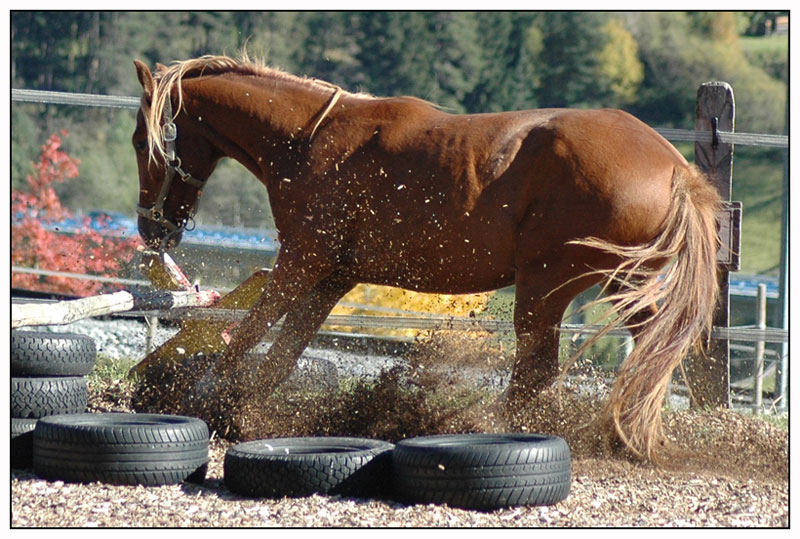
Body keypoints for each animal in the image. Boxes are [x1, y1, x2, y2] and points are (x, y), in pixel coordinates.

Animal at [131, 53, 720, 460]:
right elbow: (281, 354)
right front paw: (241, 410)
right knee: (647, 349)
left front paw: (202, 401)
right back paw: (623, 434)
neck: (311, 142)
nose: (150, 228)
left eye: (141, 141)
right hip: (618, 283)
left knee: (538, 371)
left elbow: (248, 334)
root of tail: (675, 168)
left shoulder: (302, 260)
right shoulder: (332, 276)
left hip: (548, 282)